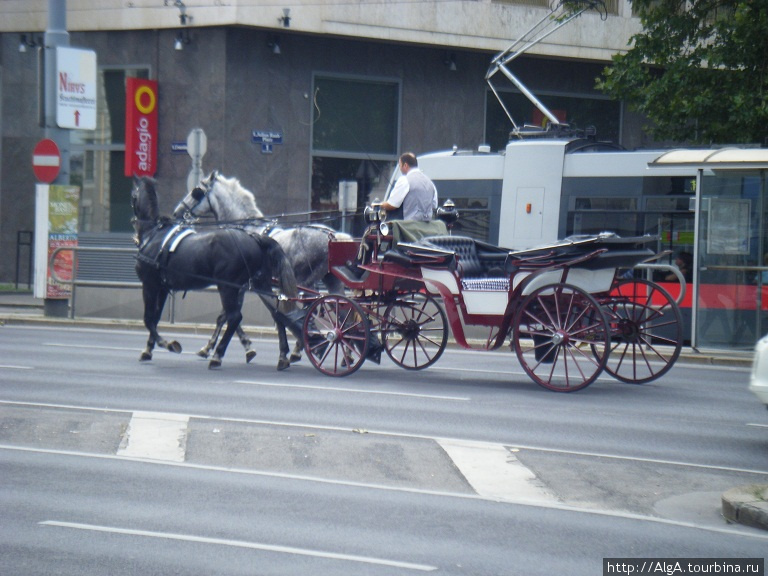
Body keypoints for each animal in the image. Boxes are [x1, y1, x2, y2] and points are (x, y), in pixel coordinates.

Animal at [132, 176, 300, 368]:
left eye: (133, 196)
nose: (177, 212)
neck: (153, 235)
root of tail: (254, 237)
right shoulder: (162, 288)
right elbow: (155, 318)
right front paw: (148, 349)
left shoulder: (150, 285)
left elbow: (148, 319)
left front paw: (167, 344)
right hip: (260, 284)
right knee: (276, 313)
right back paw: (283, 356)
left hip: (227, 287)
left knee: (234, 317)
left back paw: (217, 355)